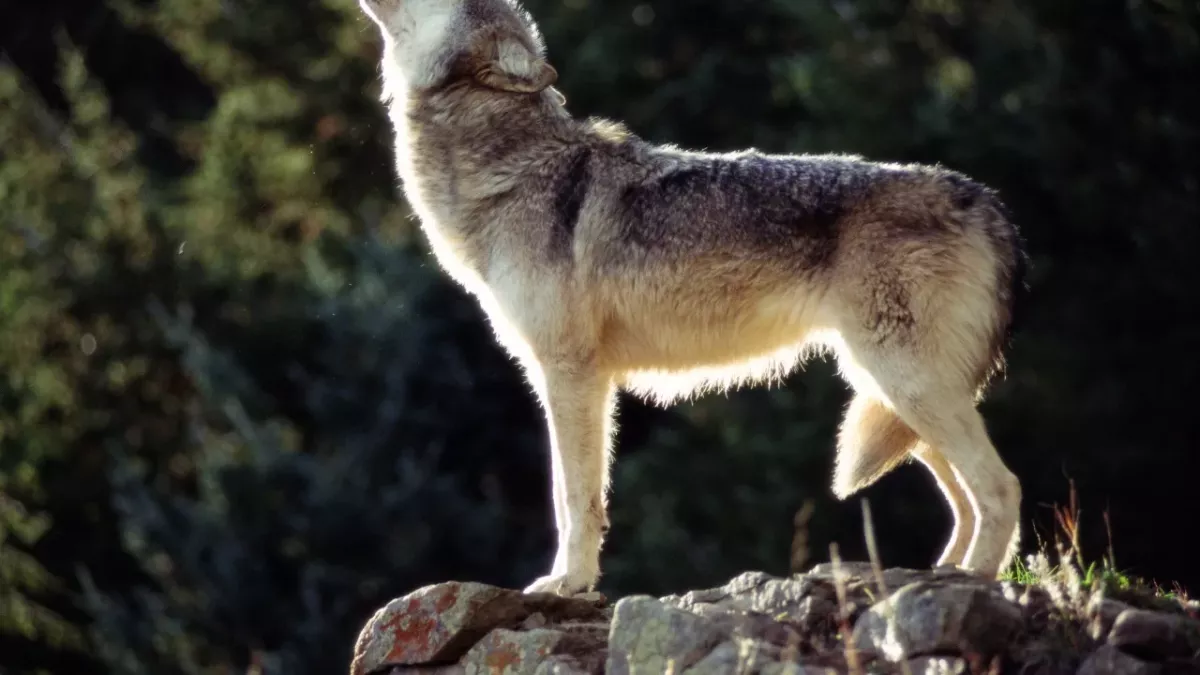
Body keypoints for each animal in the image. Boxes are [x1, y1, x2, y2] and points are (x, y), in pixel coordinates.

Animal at [357, 0, 1029, 596]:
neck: (514, 169)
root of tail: (990, 202)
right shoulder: (578, 377)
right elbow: (579, 496)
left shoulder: (570, 373)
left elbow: (572, 495)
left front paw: (567, 584)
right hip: (891, 394)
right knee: (967, 498)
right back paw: (939, 575)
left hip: (906, 384)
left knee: (1002, 487)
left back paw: (972, 583)